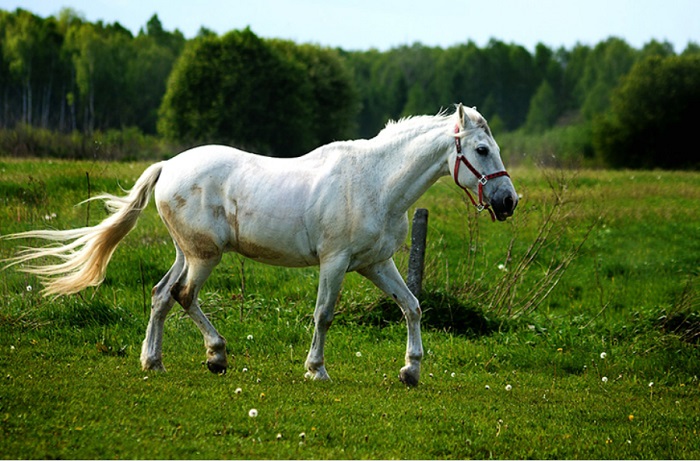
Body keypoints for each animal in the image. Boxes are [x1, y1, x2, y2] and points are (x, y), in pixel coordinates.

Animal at [2, 104, 518, 386]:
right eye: (481, 150)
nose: (508, 202)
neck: (374, 182)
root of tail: (168, 166)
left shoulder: (376, 264)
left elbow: (411, 306)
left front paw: (410, 371)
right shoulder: (335, 263)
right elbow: (323, 315)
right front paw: (316, 370)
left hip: (188, 252)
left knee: (161, 295)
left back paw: (155, 361)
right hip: (204, 256)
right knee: (182, 295)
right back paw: (215, 355)